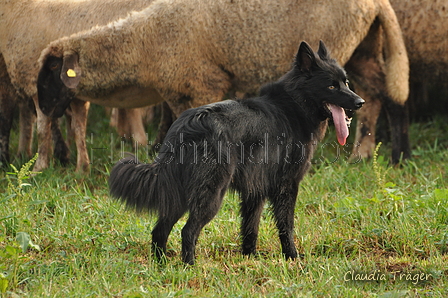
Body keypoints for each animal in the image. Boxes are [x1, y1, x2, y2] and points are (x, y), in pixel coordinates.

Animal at [38, 0, 410, 170]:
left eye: (51, 71)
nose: (42, 108)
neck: (146, 43)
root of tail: (375, 3)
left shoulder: (204, 83)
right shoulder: (178, 91)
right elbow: (170, 128)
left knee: (381, 94)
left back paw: (385, 153)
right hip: (361, 48)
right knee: (373, 92)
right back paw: (364, 152)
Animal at [108, 40, 364, 264]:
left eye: (346, 82)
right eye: (331, 86)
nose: (360, 102)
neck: (294, 104)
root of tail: (188, 124)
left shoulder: (255, 190)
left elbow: (250, 226)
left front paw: (249, 257)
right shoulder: (286, 185)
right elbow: (286, 226)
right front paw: (292, 257)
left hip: (179, 193)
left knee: (160, 230)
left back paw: (161, 265)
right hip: (211, 193)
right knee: (187, 231)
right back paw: (189, 266)